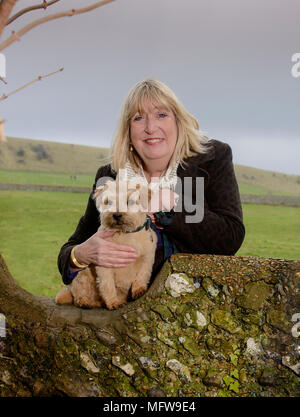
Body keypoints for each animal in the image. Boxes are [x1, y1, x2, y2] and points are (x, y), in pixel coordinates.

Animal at [55, 179, 157, 308]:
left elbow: (142, 275)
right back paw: (85, 302)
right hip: (82, 272)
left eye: (130, 201)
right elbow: (107, 285)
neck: (124, 233)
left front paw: (138, 290)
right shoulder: (105, 263)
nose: (117, 215)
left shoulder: (147, 258)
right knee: (79, 294)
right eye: (109, 201)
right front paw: (113, 302)